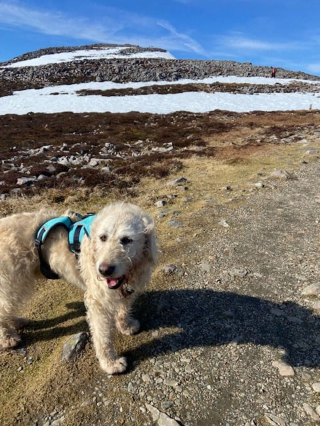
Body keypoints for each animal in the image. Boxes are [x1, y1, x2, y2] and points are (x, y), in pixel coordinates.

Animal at [0, 202, 156, 372]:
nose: (103, 270)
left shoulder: (128, 289)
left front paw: (126, 326)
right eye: (103, 237)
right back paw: (8, 338)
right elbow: (102, 336)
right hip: (12, 283)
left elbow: (123, 309)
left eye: (127, 239)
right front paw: (110, 363)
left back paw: (16, 322)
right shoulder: (98, 301)